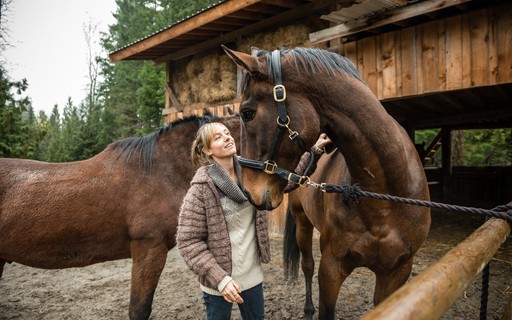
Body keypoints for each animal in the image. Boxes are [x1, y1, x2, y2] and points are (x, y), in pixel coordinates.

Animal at [225, 46, 432, 318]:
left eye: (247, 113)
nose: (249, 192)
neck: (383, 197)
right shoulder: (331, 269)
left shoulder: (396, 272)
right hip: (303, 224)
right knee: (307, 266)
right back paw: (307, 309)